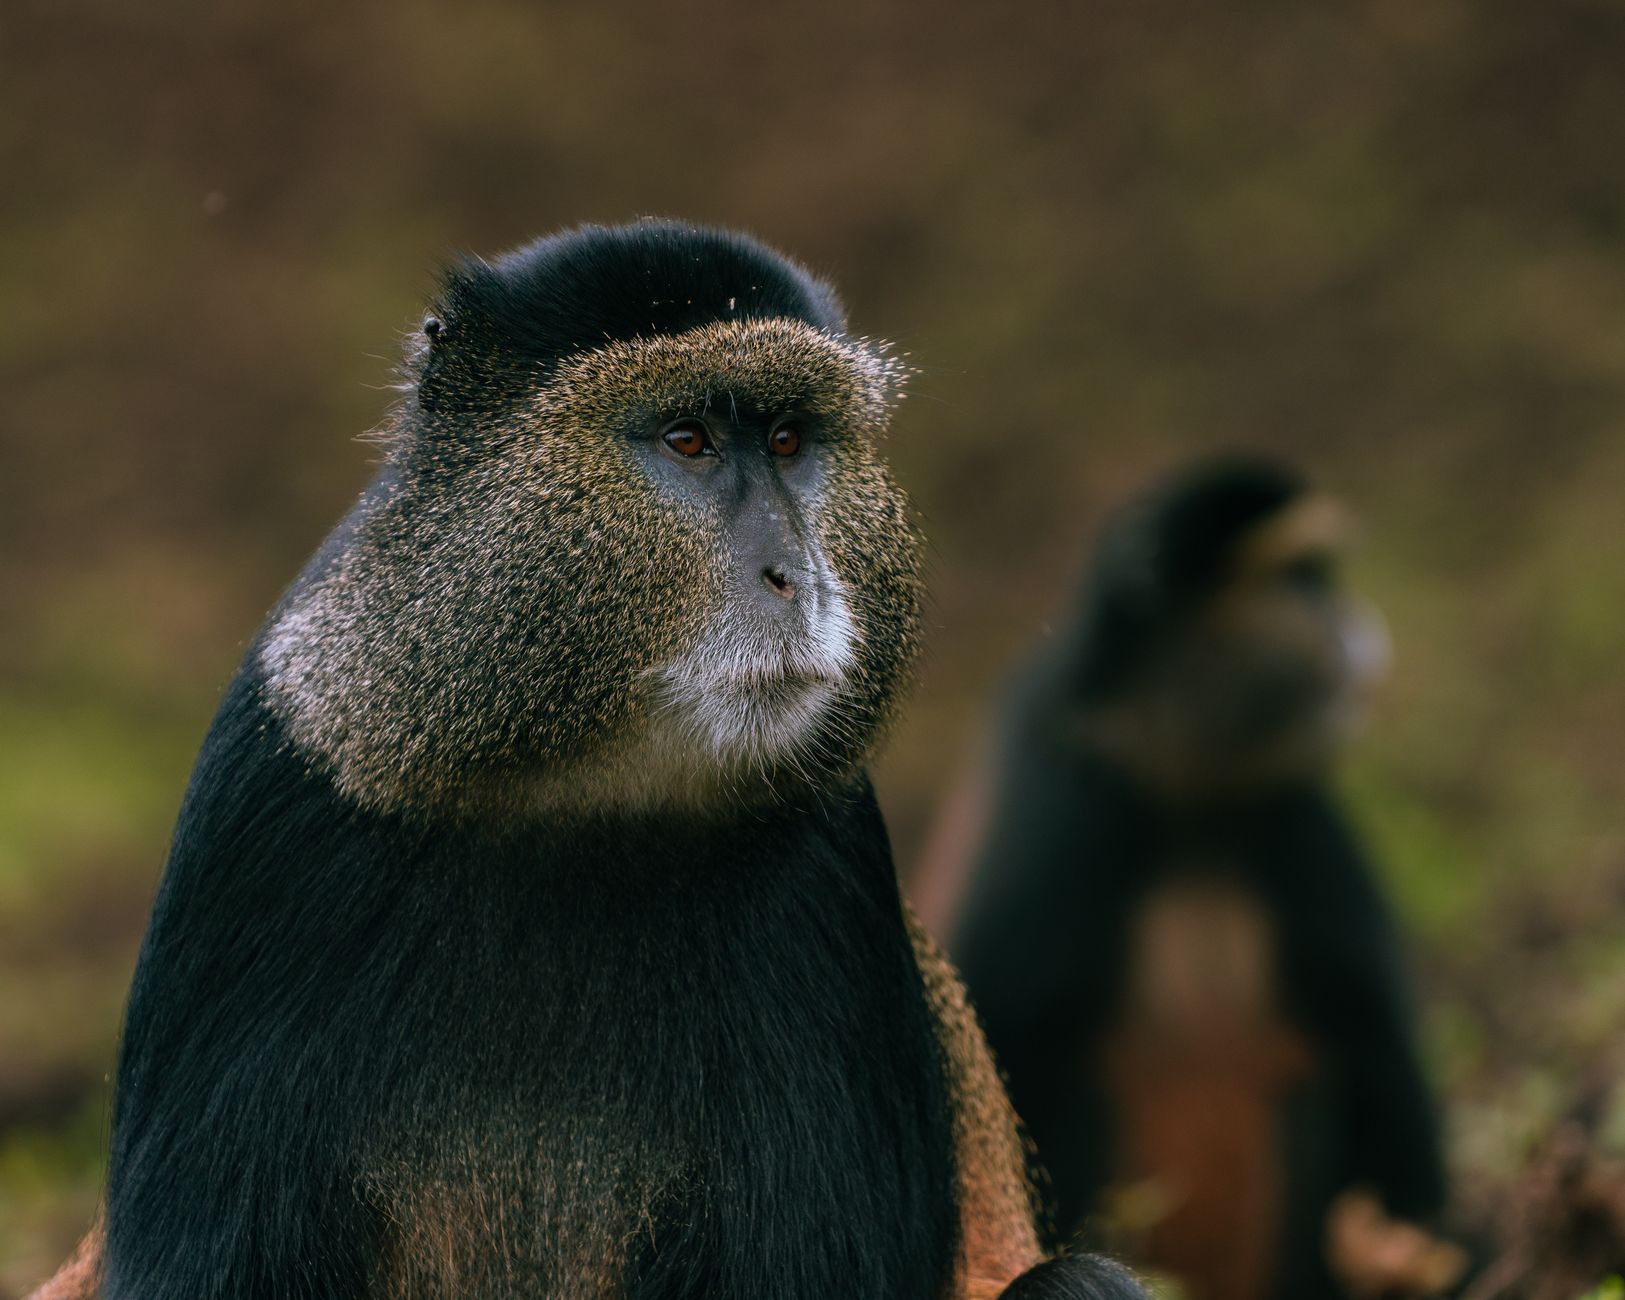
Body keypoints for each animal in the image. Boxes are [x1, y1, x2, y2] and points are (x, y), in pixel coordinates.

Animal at [27, 220, 1145, 1300]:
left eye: (789, 440)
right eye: (687, 439)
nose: (799, 576)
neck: (575, 789)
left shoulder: (834, 860)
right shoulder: (269, 804)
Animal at [929, 456, 1461, 1300]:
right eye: (1303, 579)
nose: (1355, 626)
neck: (1184, 790)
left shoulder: (1292, 813)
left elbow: (1370, 1037)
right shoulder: (1068, 797)